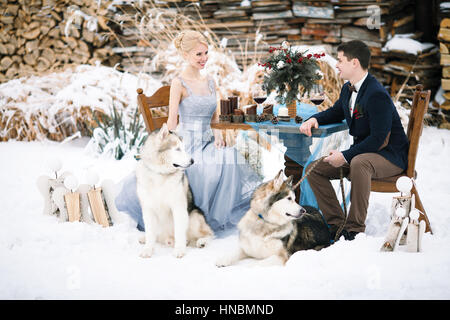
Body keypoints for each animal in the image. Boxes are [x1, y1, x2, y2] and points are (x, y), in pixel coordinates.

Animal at [136, 124, 214, 258]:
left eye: (184, 148)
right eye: (177, 149)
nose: (192, 161)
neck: (160, 175)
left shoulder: (178, 207)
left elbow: (179, 232)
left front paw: (179, 250)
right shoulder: (148, 209)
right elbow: (150, 232)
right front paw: (148, 249)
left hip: (194, 217)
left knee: (209, 234)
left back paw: (201, 241)